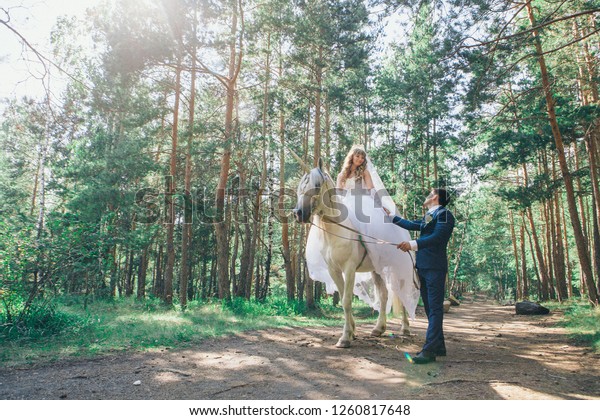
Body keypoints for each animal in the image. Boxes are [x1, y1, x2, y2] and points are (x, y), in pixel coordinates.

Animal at [290, 158, 408, 348]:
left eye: (317, 185)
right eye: (301, 186)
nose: (298, 214)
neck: (336, 229)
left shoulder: (350, 269)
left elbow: (346, 300)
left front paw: (345, 337)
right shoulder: (334, 270)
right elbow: (344, 299)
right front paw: (352, 331)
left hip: (397, 268)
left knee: (401, 294)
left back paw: (405, 328)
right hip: (377, 270)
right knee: (384, 295)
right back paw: (379, 328)